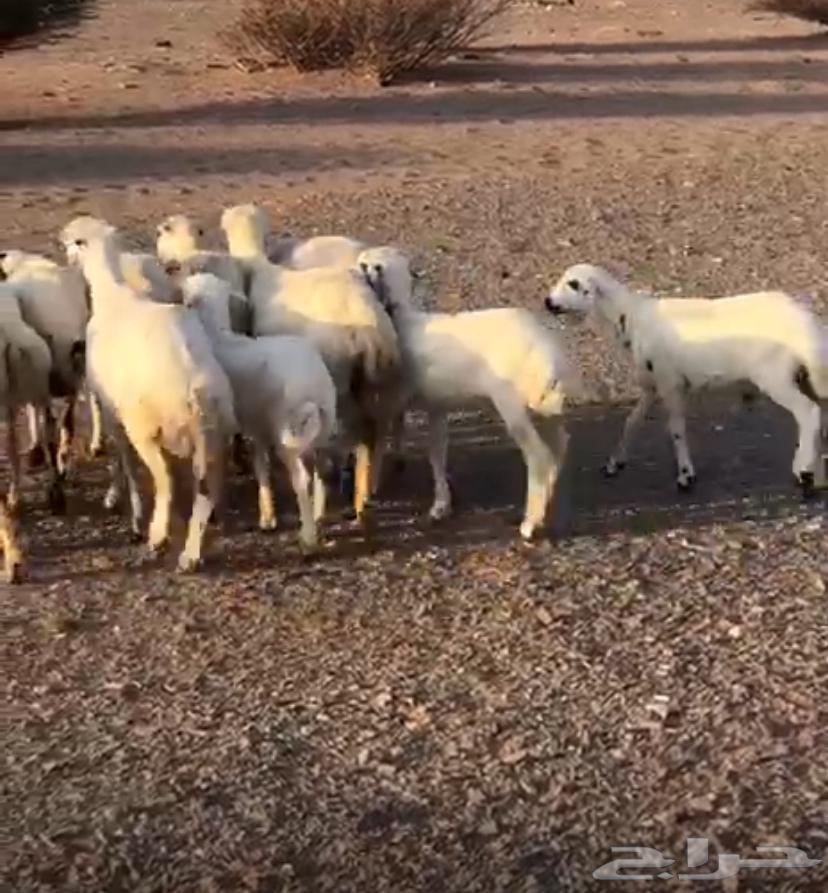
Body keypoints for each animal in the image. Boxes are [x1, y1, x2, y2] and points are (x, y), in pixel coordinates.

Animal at [60, 217, 237, 571]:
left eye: (73, 243)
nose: (67, 261)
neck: (113, 294)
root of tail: (196, 390)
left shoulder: (113, 413)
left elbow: (123, 461)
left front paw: (130, 512)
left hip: (147, 427)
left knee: (165, 480)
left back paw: (158, 536)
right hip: (213, 436)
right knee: (205, 488)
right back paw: (192, 552)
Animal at [182, 273, 337, 548]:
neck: (218, 335)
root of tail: (314, 384)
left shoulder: (241, 424)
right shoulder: (258, 425)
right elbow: (260, 464)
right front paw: (267, 514)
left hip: (289, 429)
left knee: (301, 479)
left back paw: (308, 536)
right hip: (321, 428)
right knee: (322, 471)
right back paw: (319, 517)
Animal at [221, 204, 401, 522]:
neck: (261, 268)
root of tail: (370, 333)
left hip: (336, 382)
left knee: (335, 445)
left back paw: (323, 506)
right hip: (377, 382)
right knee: (372, 436)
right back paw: (364, 497)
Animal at [358, 246, 574, 541]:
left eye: (370, 265)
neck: (404, 321)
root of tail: (550, 357)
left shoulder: (391, 403)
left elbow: (378, 445)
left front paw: (371, 491)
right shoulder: (437, 405)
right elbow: (436, 454)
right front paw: (441, 505)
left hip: (512, 405)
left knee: (539, 457)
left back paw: (530, 524)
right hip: (544, 408)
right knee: (559, 447)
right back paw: (545, 505)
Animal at [546, 264, 828, 494]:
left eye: (574, 284)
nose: (548, 302)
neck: (630, 319)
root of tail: (805, 323)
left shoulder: (670, 382)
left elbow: (676, 429)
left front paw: (685, 475)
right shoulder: (651, 385)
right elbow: (631, 422)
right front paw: (615, 463)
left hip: (775, 376)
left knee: (808, 412)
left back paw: (803, 470)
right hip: (804, 377)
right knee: (818, 418)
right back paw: (818, 476)